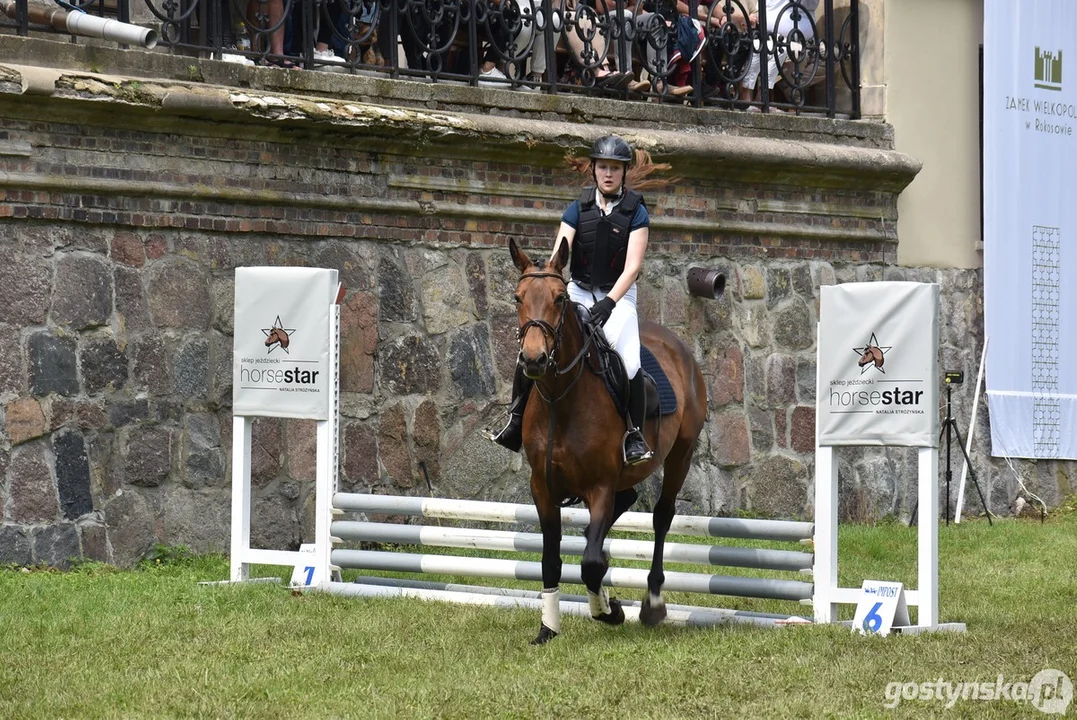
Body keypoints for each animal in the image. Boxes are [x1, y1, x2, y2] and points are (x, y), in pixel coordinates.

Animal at [508, 236, 710, 645]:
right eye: (518, 298)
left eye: (559, 298)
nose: (534, 360)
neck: (560, 399)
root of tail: (678, 346)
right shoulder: (542, 487)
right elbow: (553, 559)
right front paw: (548, 628)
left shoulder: (599, 485)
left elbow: (590, 563)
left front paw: (608, 611)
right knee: (620, 506)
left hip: (680, 453)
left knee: (661, 517)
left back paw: (652, 603)